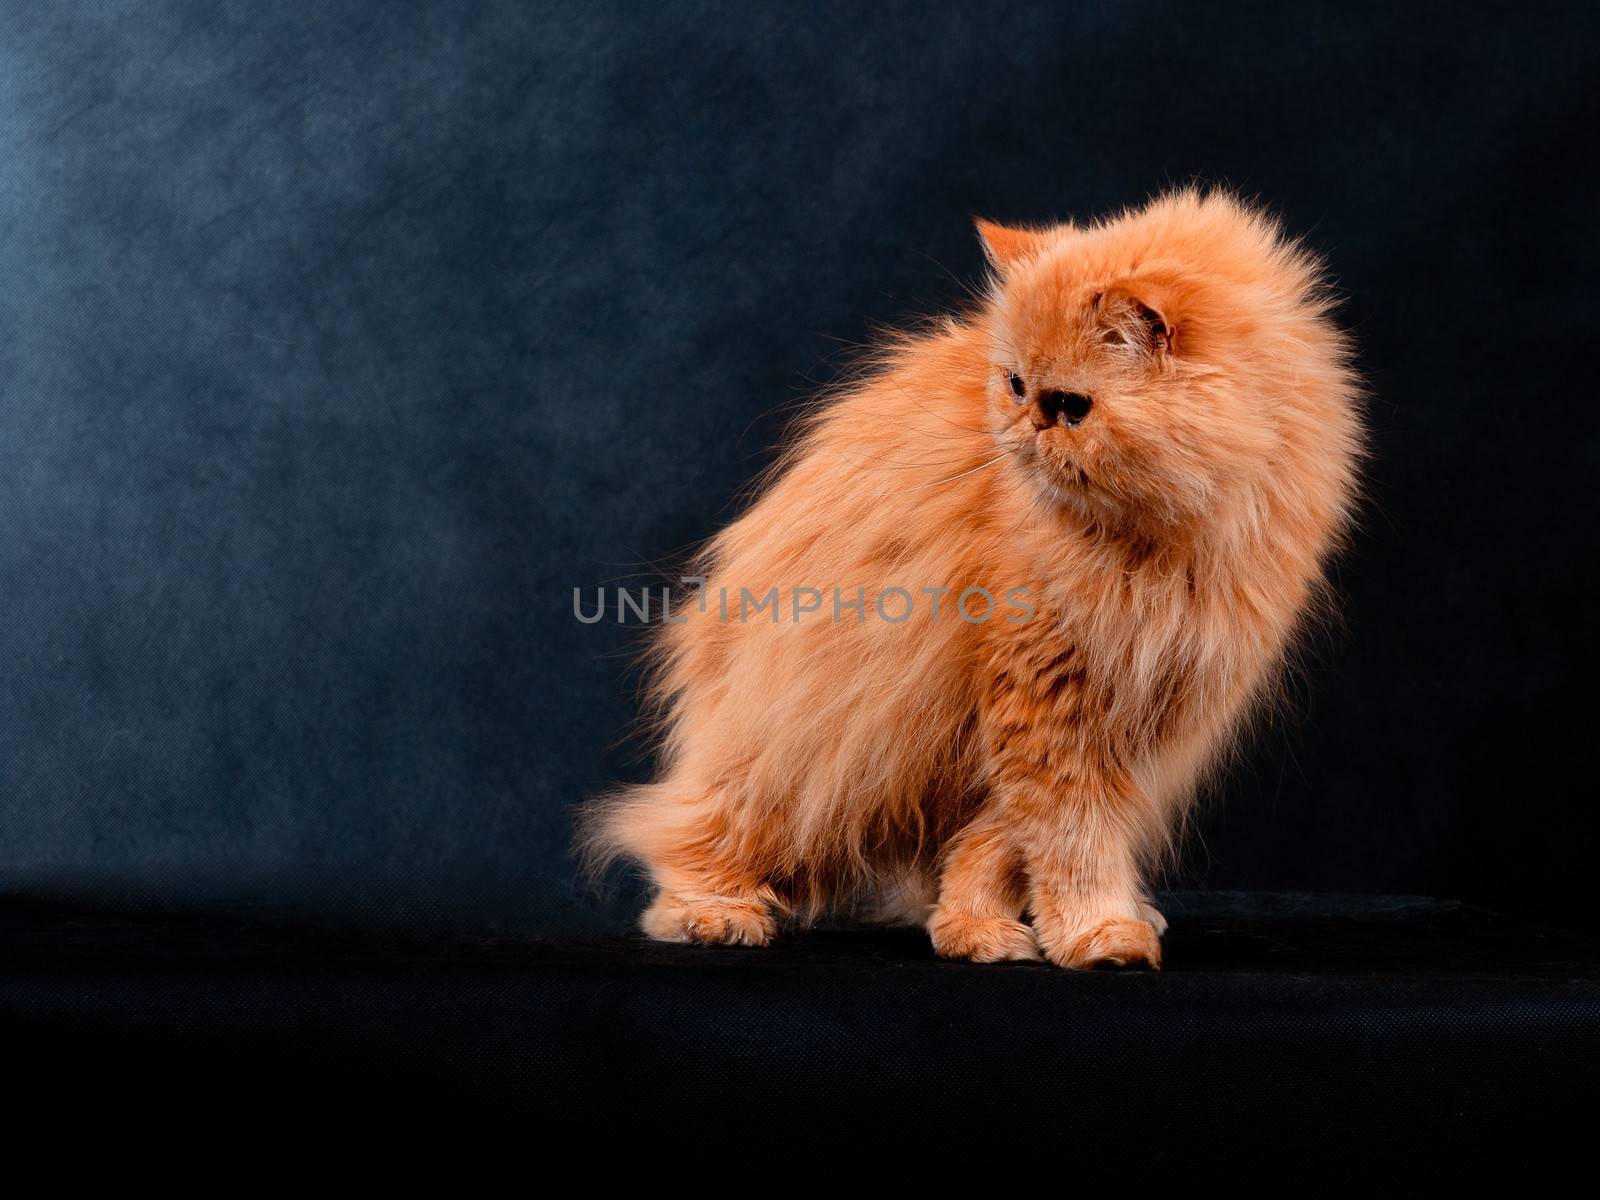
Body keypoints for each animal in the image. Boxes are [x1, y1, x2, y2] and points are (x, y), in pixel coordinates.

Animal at [582, 192, 1356, 972]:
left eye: (1070, 407)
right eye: (1014, 384)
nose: (1022, 427)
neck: (1164, 545)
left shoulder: (1142, 712)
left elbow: (1005, 843)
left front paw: (992, 924)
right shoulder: (1044, 700)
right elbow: (1067, 840)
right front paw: (1085, 933)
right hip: (793, 753)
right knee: (688, 835)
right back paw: (715, 912)